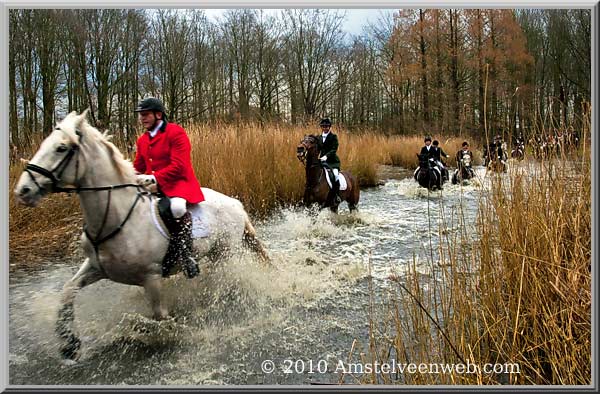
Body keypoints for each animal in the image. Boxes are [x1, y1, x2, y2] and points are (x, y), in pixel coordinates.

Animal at [12, 110, 270, 360]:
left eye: (61, 148)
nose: (23, 190)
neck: (117, 215)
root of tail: (235, 203)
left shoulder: (151, 277)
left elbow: (159, 316)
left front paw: (165, 335)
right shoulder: (96, 267)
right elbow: (68, 290)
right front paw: (69, 345)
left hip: (224, 254)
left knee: (223, 280)